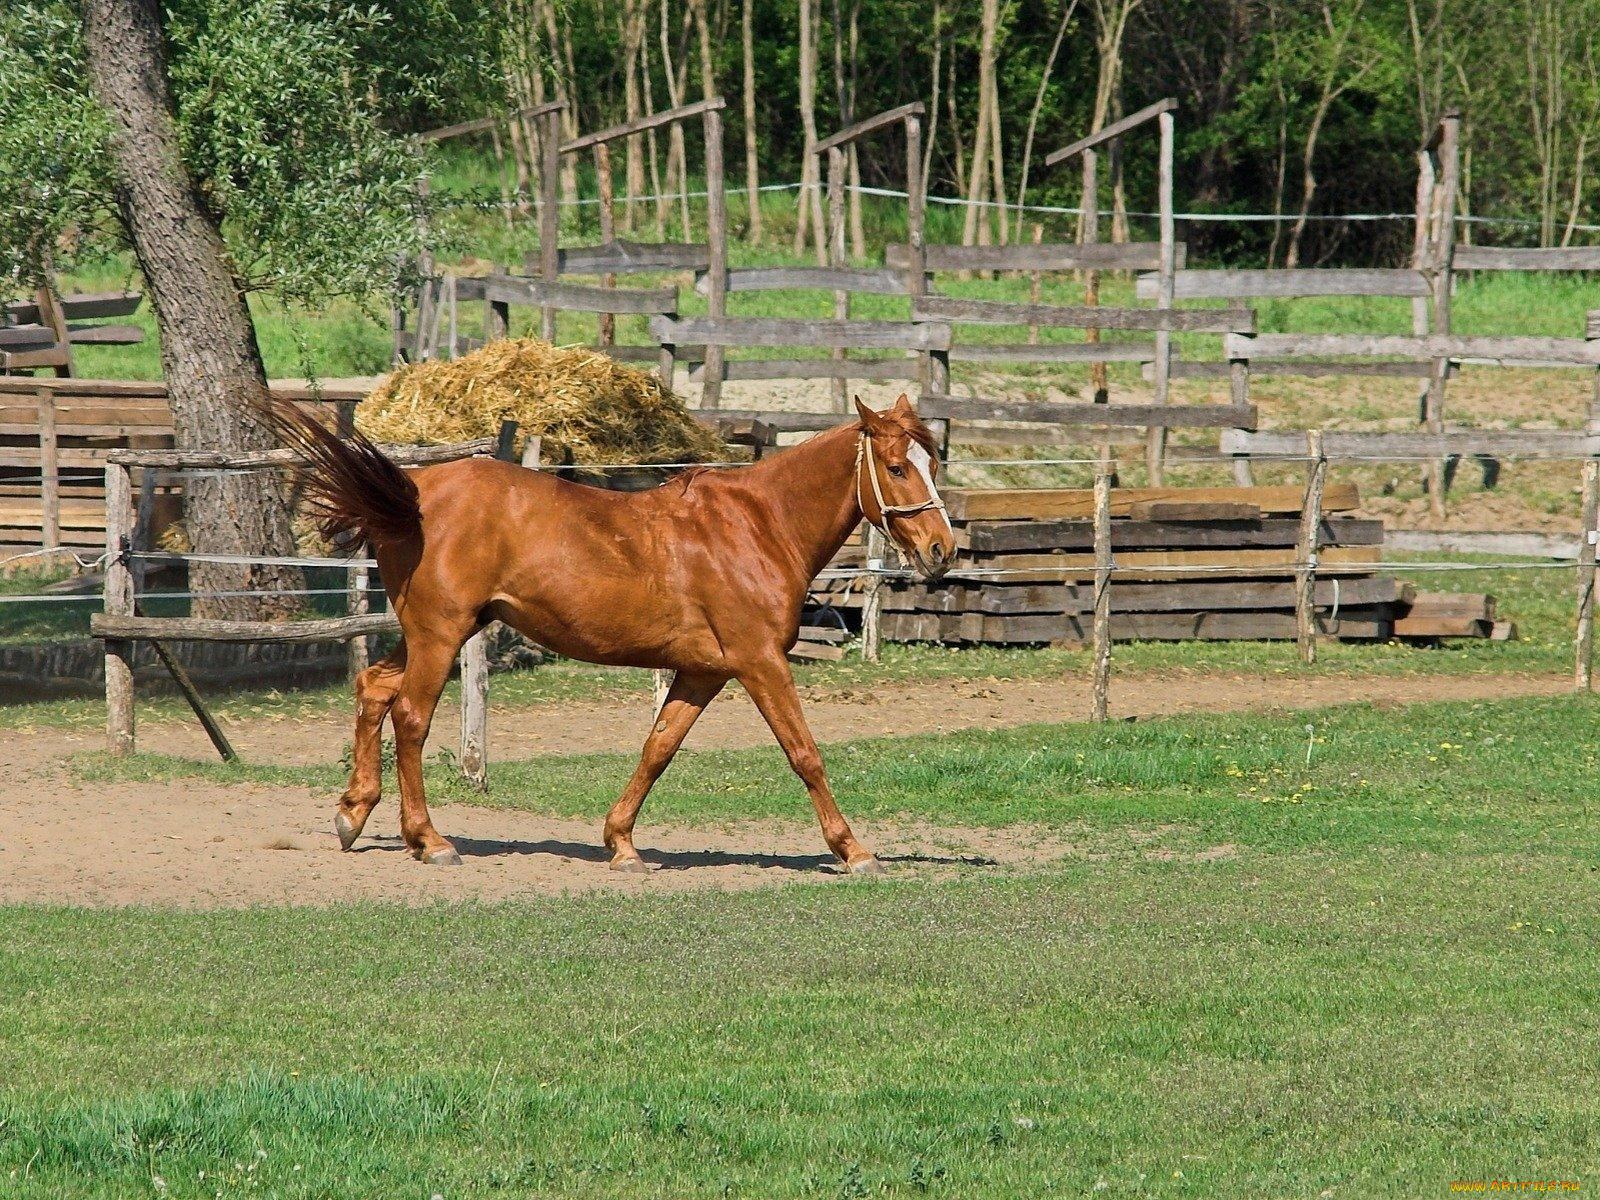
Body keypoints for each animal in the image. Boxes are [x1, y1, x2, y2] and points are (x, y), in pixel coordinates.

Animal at [268, 395, 953, 876]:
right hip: (440, 634)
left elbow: (658, 749)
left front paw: (621, 844)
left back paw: (353, 813)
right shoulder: (759, 662)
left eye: (934, 464)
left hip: (430, 632)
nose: (941, 550)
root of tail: (414, 491)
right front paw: (853, 850)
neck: (757, 526)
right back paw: (430, 841)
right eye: (897, 468)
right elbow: (804, 753)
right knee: (410, 716)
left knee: (373, 689)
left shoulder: (704, 671)